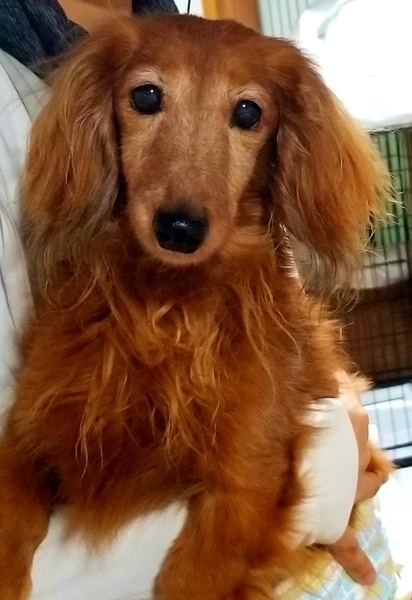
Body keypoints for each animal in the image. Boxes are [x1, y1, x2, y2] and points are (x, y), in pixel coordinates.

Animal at [0, 14, 392, 600]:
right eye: (145, 96)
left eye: (249, 112)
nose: (179, 229)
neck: (166, 311)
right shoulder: (28, 428)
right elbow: (10, 510)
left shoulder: (246, 482)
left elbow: (193, 576)